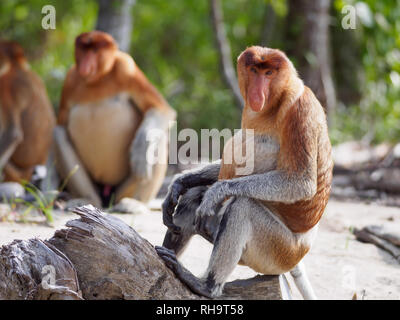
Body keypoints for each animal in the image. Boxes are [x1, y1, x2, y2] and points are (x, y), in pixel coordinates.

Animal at [54, 31, 175, 206]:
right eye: (83, 50)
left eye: (94, 51)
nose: (84, 65)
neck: (98, 79)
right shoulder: (70, 80)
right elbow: (61, 123)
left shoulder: (127, 68)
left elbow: (160, 109)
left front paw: (140, 150)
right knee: (58, 133)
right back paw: (87, 200)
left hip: (121, 190)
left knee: (158, 136)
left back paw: (132, 203)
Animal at [155, 46, 332, 298]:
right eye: (254, 70)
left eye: (269, 73)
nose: (258, 93)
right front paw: (179, 183)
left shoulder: (300, 110)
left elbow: (301, 182)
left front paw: (217, 192)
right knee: (193, 198)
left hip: (278, 251)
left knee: (242, 206)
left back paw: (205, 285)